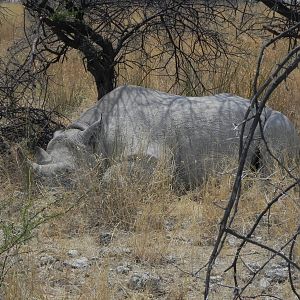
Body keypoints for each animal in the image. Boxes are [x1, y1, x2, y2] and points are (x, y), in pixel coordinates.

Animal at [20, 84, 298, 188]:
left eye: (69, 173)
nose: (45, 191)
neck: (94, 137)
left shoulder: (154, 158)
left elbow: (109, 177)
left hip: (275, 120)